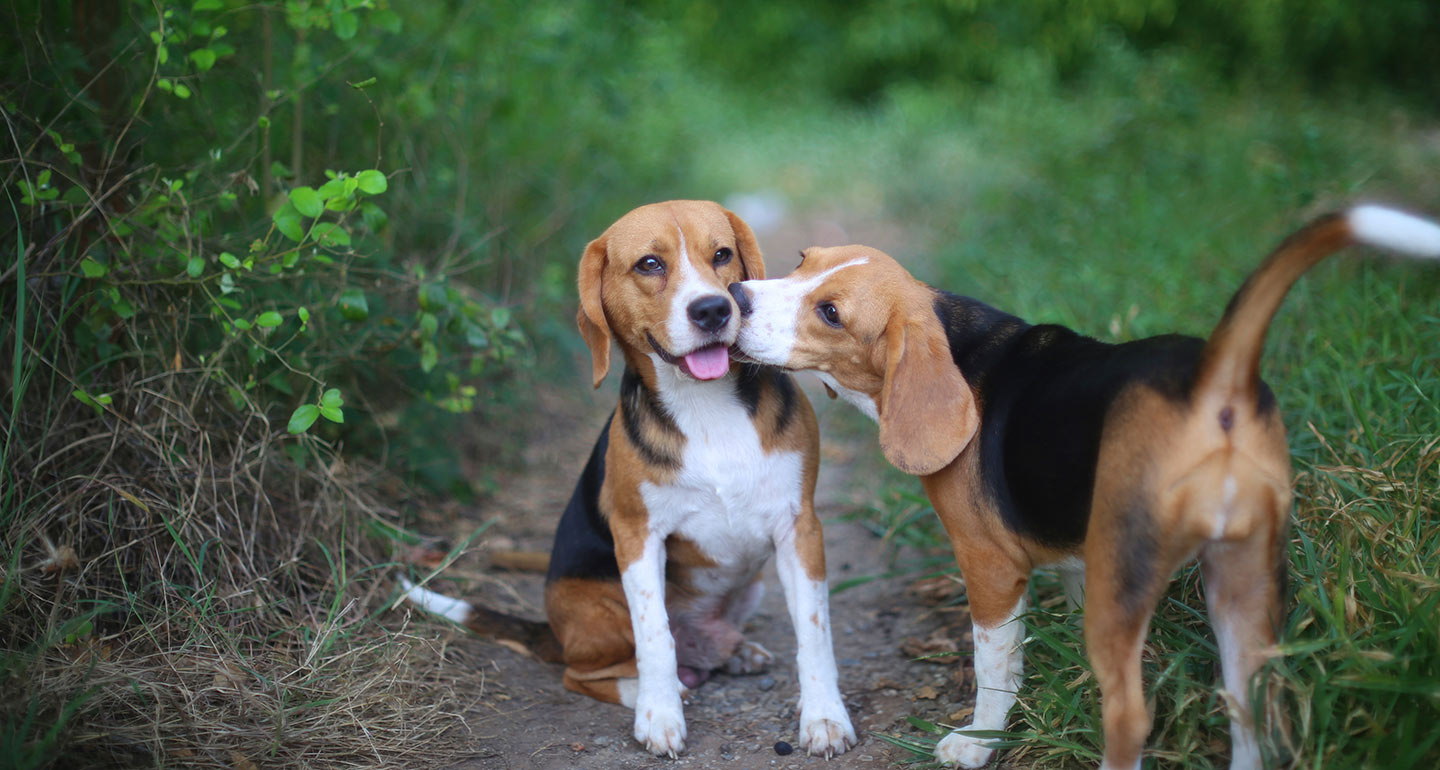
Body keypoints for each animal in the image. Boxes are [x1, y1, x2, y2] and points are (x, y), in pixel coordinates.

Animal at [403, 198, 852, 759]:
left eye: (722, 254)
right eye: (649, 265)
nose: (713, 310)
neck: (705, 406)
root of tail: (553, 631)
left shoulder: (800, 528)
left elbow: (815, 633)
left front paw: (824, 717)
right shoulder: (637, 536)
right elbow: (655, 635)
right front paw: (659, 714)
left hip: (750, 587)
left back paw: (733, 652)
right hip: (600, 608)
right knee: (583, 673)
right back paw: (650, 688)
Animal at [731, 205, 1440, 770]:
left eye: (830, 313)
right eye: (801, 261)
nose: (735, 295)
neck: (960, 349)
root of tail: (1214, 375)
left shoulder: (990, 567)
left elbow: (996, 668)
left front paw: (979, 742)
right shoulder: (1076, 557)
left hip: (1130, 575)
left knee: (1130, 717)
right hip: (1245, 580)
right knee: (1251, 706)